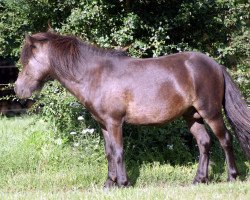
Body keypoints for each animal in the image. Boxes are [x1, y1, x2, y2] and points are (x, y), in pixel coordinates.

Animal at [15, 32, 250, 188]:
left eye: (28, 61)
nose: (18, 89)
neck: (95, 75)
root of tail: (215, 65)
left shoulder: (115, 122)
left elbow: (118, 152)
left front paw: (123, 183)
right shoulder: (104, 125)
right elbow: (109, 153)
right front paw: (109, 183)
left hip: (211, 113)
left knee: (225, 140)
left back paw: (232, 177)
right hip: (192, 116)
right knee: (204, 143)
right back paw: (199, 180)